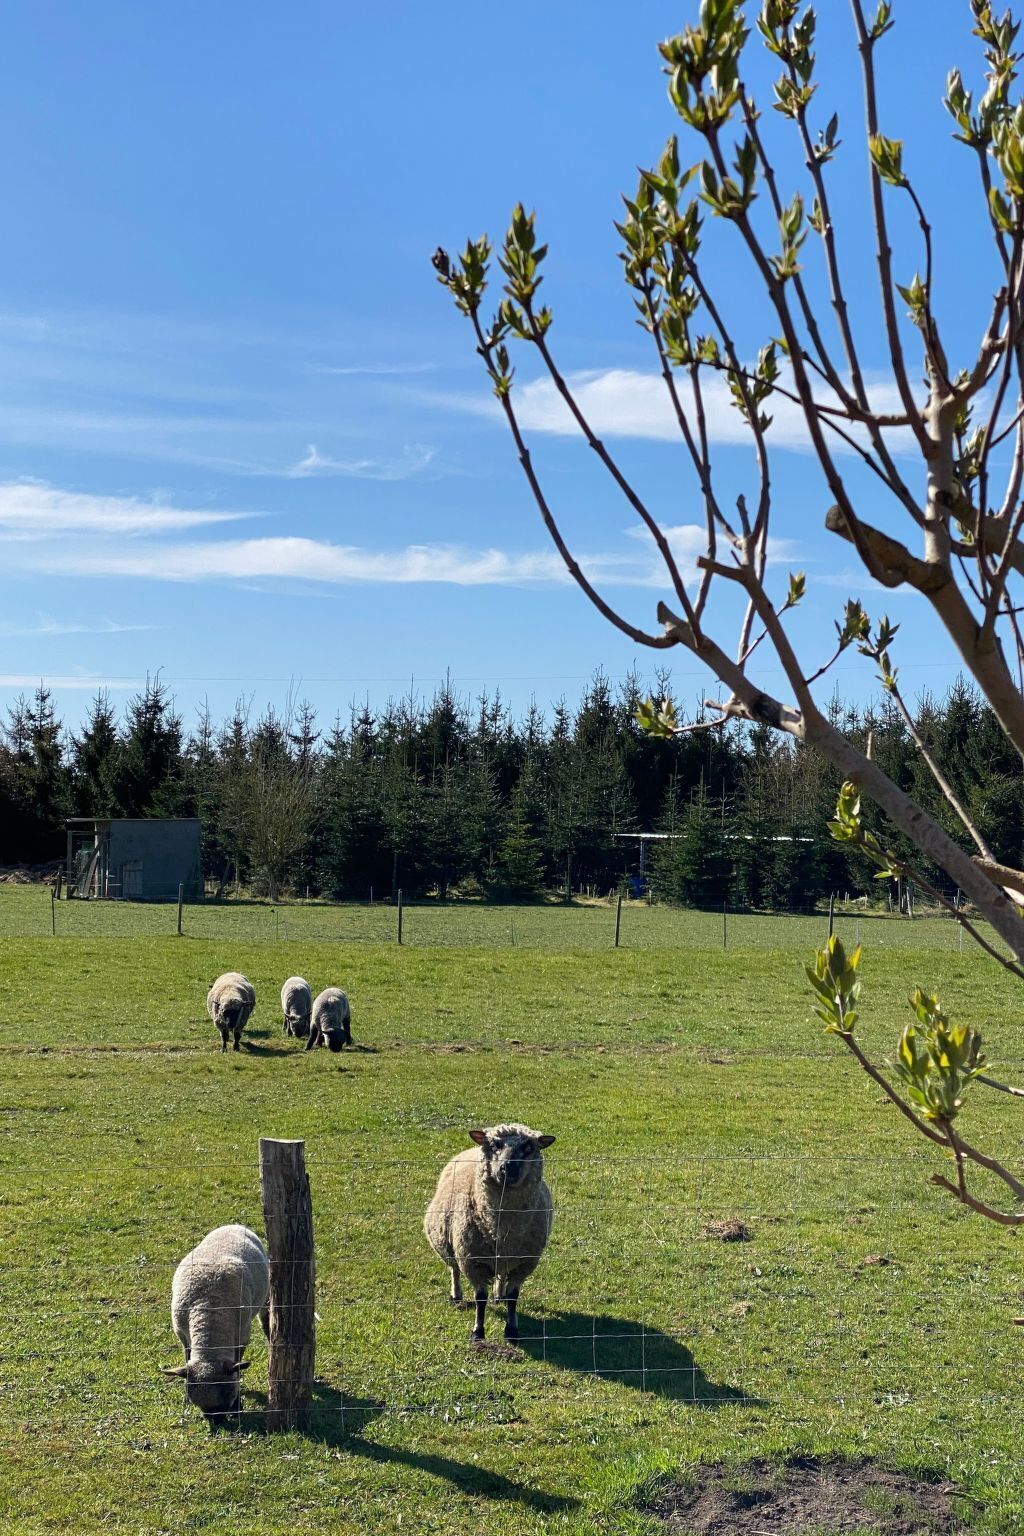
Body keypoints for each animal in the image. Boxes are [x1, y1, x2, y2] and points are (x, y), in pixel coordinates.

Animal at [160, 1223, 270, 1425]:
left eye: (228, 1395)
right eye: (196, 1400)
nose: (217, 1422)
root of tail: (234, 1224)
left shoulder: (242, 1336)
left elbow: (237, 1369)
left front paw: (237, 1408)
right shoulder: (183, 1336)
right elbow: (187, 1359)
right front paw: (185, 1401)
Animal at [423, 1122, 555, 1344]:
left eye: (529, 1148)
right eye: (494, 1146)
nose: (508, 1168)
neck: (502, 1227)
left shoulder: (523, 1263)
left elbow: (513, 1297)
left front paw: (511, 1330)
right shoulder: (473, 1261)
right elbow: (480, 1298)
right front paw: (478, 1332)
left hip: (502, 1258)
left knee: (501, 1275)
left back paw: (498, 1295)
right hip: (450, 1244)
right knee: (454, 1270)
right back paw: (456, 1295)